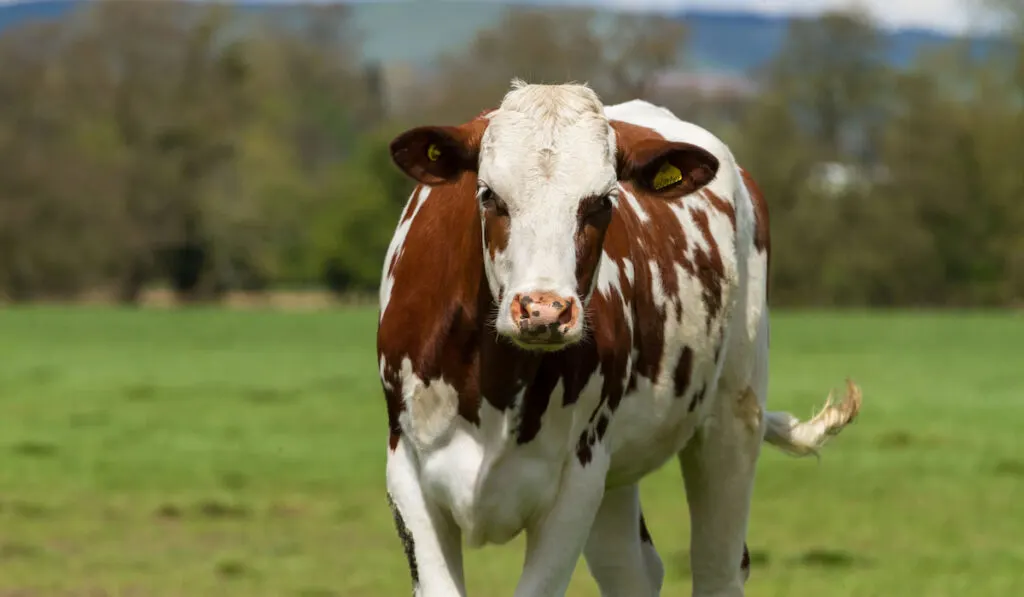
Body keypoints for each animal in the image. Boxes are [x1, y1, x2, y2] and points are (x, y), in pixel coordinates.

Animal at [376, 81, 864, 597]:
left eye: (603, 201)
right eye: (489, 195)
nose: (543, 310)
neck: (493, 385)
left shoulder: (578, 480)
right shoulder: (406, 469)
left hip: (733, 420)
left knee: (718, 567)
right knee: (632, 571)